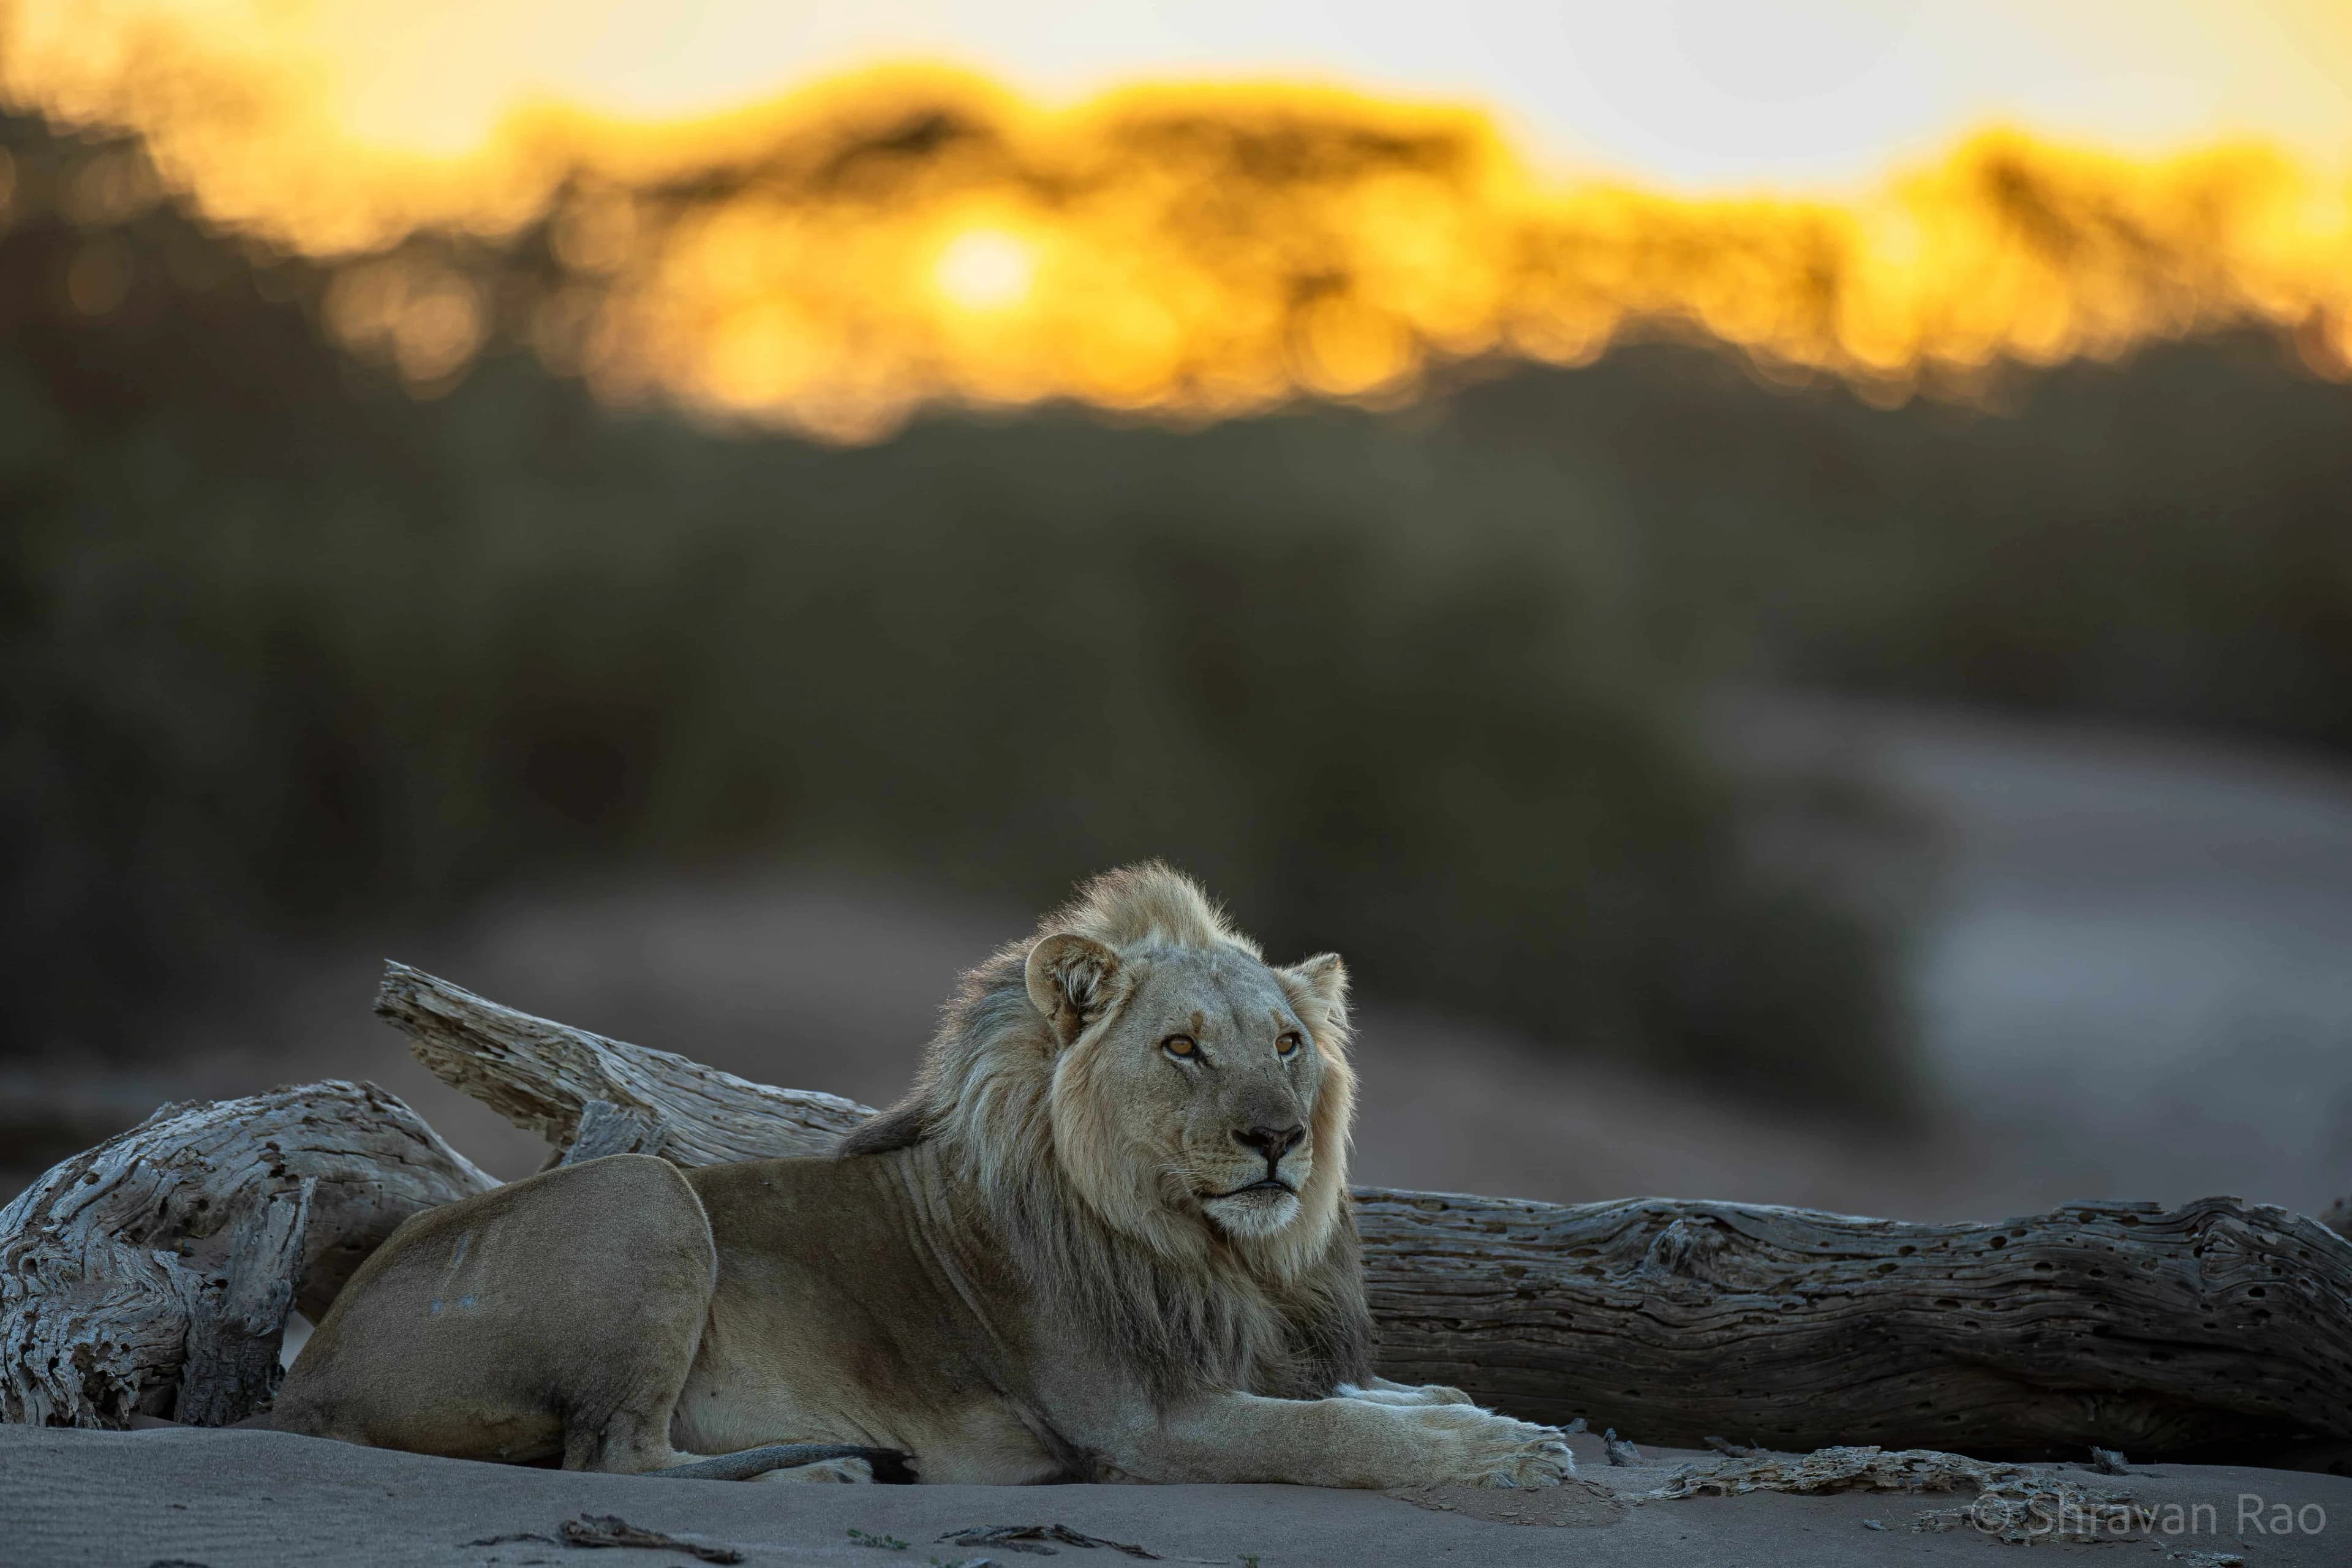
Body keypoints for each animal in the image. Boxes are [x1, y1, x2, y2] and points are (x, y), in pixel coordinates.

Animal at [264, 863, 1576, 1488]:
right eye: (1183, 1048)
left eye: (1290, 1044)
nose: (1278, 1139)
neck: (1215, 1255)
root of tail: (308, 1378)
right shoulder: (1144, 1426)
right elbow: (1335, 1435)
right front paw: (1497, 1452)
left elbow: (1362, 1399)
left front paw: (1483, 1411)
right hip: (648, 1193)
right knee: (617, 1455)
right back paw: (834, 1470)